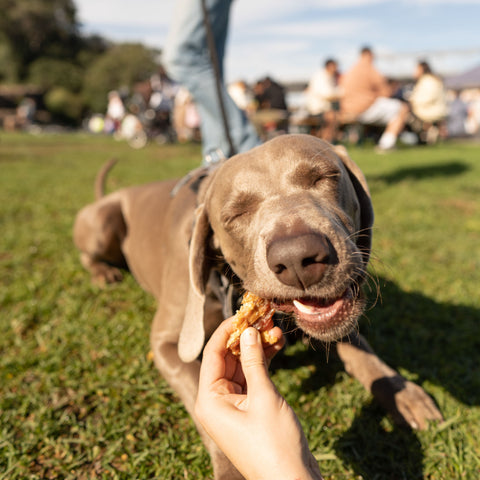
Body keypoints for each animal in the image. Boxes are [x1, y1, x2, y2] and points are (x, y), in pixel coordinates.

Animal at [73, 133, 444, 478]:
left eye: (324, 177)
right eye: (234, 214)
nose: (297, 259)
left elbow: (360, 347)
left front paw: (403, 393)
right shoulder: (167, 342)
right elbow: (198, 395)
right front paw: (232, 465)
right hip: (103, 223)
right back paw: (104, 273)